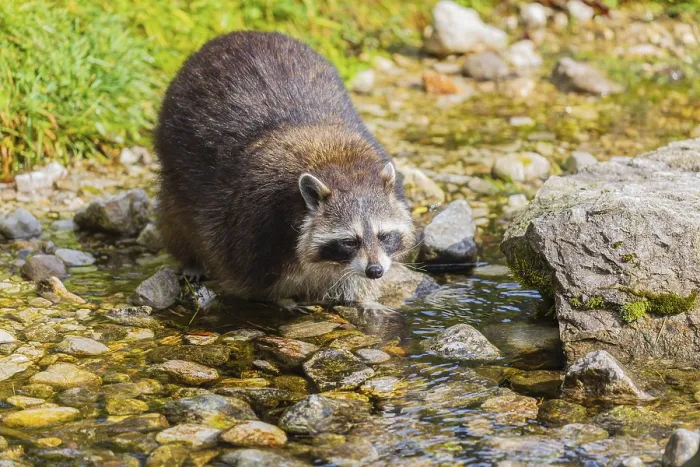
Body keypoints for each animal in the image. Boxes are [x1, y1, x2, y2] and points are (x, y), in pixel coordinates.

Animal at [154, 31, 415, 304]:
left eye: (384, 236)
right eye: (349, 242)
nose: (375, 270)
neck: (340, 167)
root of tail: (240, 34)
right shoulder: (253, 228)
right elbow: (250, 282)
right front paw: (283, 301)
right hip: (174, 148)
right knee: (175, 212)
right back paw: (189, 257)